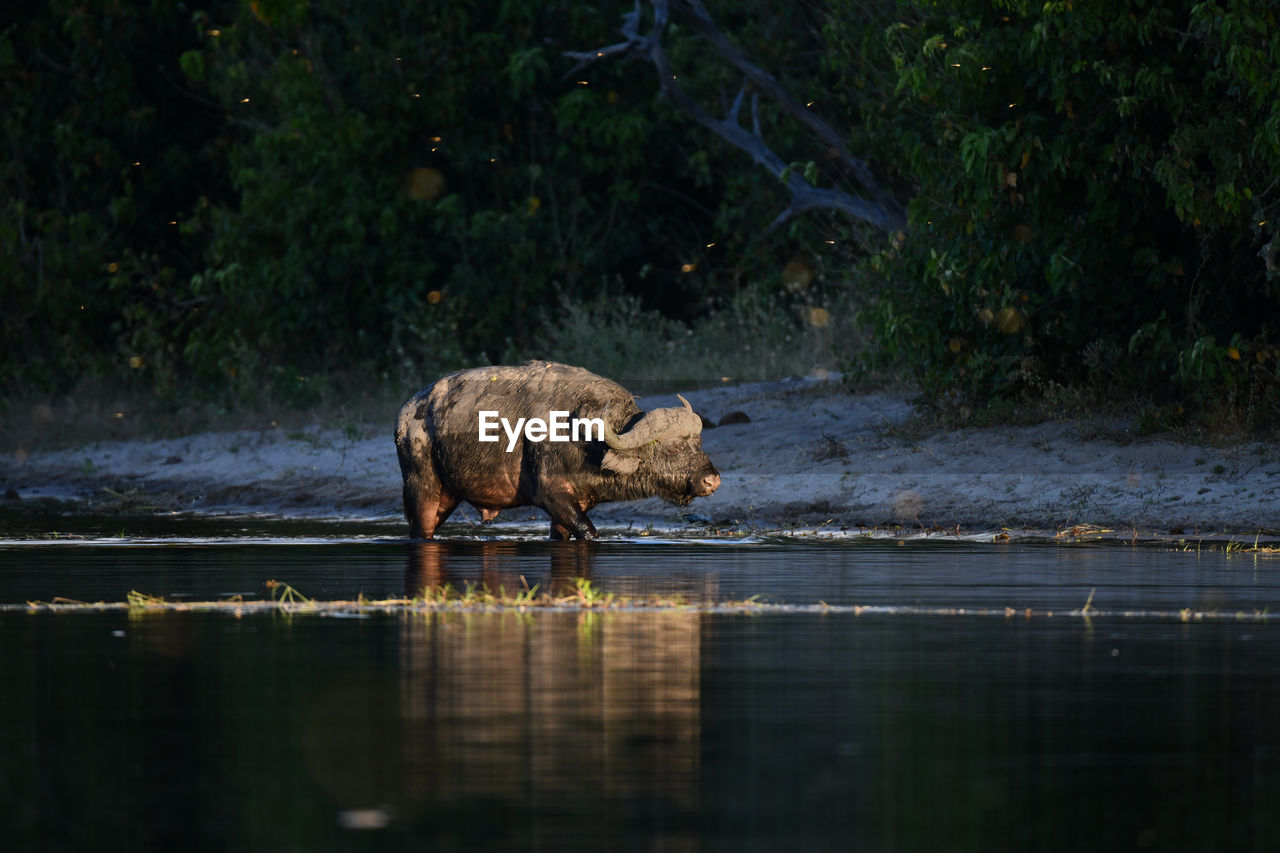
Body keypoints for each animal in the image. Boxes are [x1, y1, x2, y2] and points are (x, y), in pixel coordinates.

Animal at [391, 361, 721, 537]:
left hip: (448, 496)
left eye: (699, 443)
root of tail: (408, 411)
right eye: (673, 448)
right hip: (422, 489)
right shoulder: (552, 497)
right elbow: (590, 532)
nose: (712, 480)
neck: (588, 437)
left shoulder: (573, 505)